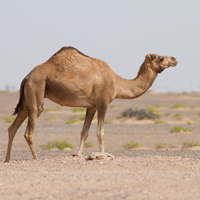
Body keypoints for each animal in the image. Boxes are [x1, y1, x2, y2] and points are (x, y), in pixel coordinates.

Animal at [3, 47, 177, 162]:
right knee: (29, 131)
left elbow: (84, 132)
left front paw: (79, 154)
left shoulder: (91, 106)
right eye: (160, 58)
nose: (174, 59)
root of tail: (27, 77)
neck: (117, 81)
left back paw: (7, 159)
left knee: (12, 128)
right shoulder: (103, 102)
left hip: (26, 100)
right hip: (36, 91)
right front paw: (103, 155)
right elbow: (101, 133)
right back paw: (36, 158)